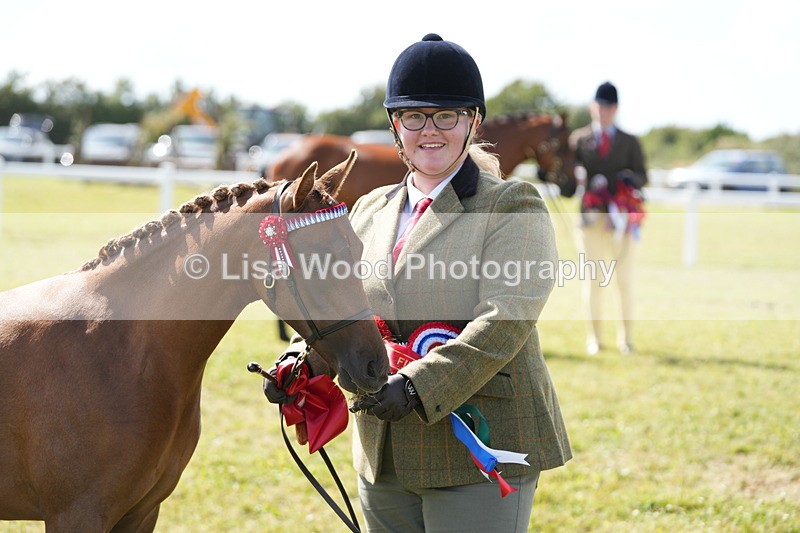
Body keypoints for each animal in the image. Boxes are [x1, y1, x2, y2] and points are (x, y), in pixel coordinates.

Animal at [0, 150, 390, 532]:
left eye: (357, 247)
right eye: (319, 255)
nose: (376, 366)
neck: (120, 348)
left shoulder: (141, 512)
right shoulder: (77, 515)